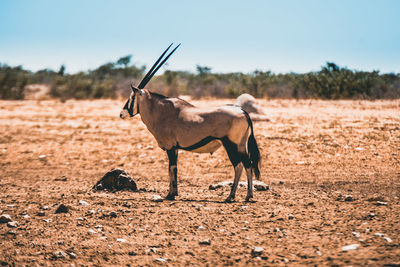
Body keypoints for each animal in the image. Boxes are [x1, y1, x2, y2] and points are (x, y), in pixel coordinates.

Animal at [120, 44, 260, 203]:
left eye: (131, 97)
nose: (122, 113)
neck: (160, 110)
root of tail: (243, 111)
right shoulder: (175, 148)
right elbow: (174, 169)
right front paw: (174, 192)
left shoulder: (170, 147)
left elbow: (171, 168)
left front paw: (170, 194)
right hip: (239, 145)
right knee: (245, 165)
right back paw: (242, 195)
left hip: (231, 144)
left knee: (242, 165)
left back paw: (236, 196)